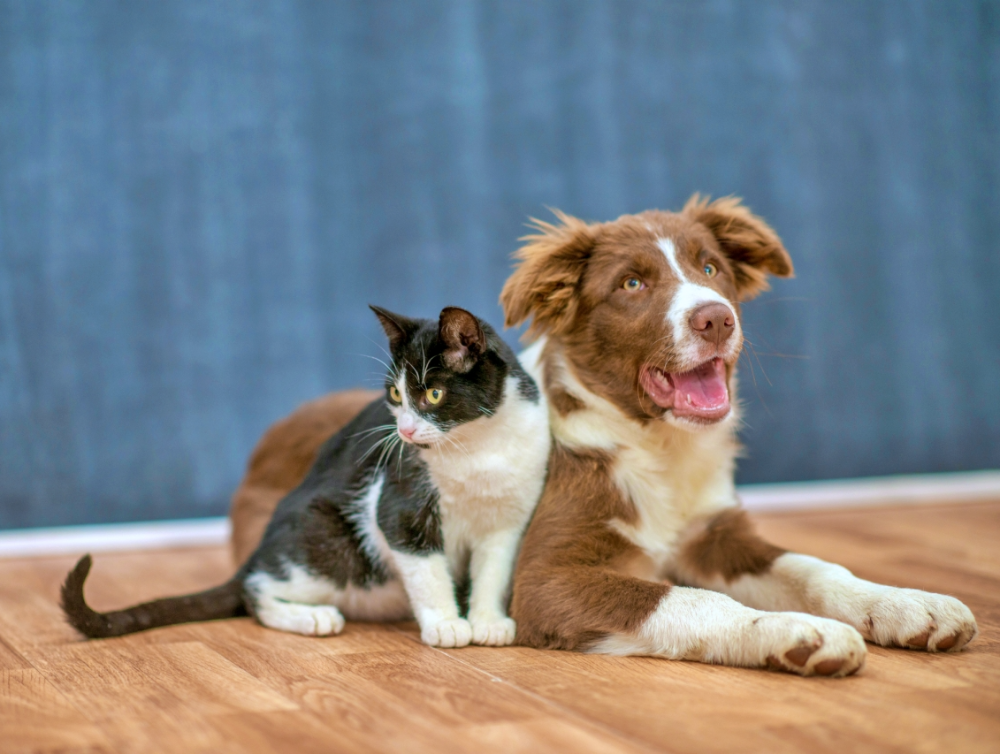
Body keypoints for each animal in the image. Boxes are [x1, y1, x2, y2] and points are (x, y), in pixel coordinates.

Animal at [61, 306, 552, 648]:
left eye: (433, 393)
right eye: (396, 395)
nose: (406, 431)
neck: (476, 449)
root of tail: (256, 552)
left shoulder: (510, 518)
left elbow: (494, 570)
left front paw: (487, 622)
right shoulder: (398, 502)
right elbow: (426, 570)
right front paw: (448, 624)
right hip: (329, 544)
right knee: (257, 590)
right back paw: (310, 616)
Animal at [500, 194, 976, 676]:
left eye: (710, 268)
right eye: (631, 283)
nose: (716, 319)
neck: (661, 446)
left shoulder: (715, 535)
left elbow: (812, 567)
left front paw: (903, 602)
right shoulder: (545, 579)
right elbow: (692, 600)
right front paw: (795, 630)